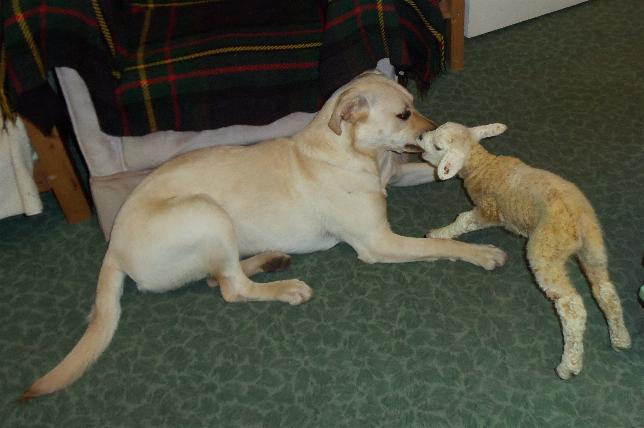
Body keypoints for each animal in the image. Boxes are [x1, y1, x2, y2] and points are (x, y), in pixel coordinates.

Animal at [22, 71, 508, 398]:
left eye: (413, 102)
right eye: (403, 114)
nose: (435, 131)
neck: (352, 150)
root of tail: (114, 249)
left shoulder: (397, 176)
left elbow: (428, 178)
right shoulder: (378, 242)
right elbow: (441, 244)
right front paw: (484, 252)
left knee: (218, 276)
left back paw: (269, 259)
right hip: (206, 212)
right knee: (231, 288)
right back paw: (286, 287)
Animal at [416, 122, 632, 380]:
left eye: (438, 146)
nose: (420, 136)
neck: (484, 166)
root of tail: (577, 224)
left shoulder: (488, 211)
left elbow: (463, 220)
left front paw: (439, 233)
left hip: (544, 251)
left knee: (572, 305)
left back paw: (569, 364)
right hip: (594, 248)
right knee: (605, 291)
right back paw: (619, 336)